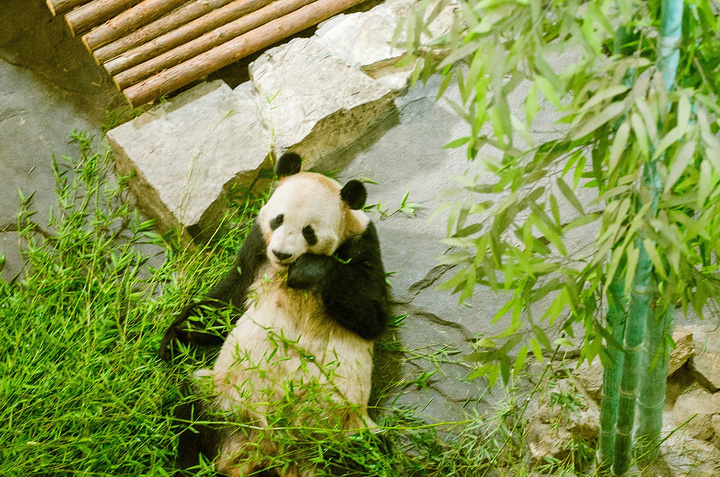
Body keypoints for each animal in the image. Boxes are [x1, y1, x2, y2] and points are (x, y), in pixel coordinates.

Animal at [161, 152, 390, 476]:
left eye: (309, 231)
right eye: (278, 219)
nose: (282, 253)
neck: (283, 271)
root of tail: (274, 456)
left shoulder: (362, 243)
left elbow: (373, 316)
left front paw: (309, 271)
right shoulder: (258, 246)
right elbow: (227, 300)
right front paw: (172, 340)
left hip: (345, 429)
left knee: (370, 455)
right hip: (229, 400)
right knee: (193, 408)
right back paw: (196, 466)